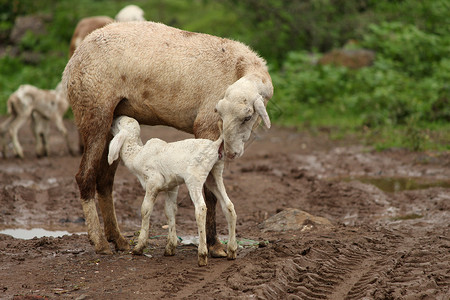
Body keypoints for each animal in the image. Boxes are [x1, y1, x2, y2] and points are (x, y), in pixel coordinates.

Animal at [108, 116, 239, 266]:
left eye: (119, 123)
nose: (112, 121)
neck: (136, 154)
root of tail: (215, 145)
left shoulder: (153, 182)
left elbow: (145, 210)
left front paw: (139, 247)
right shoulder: (172, 186)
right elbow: (170, 211)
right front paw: (170, 247)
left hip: (195, 177)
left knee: (200, 209)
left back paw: (202, 255)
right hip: (215, 174)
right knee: (228, 205)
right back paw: (232, 251)